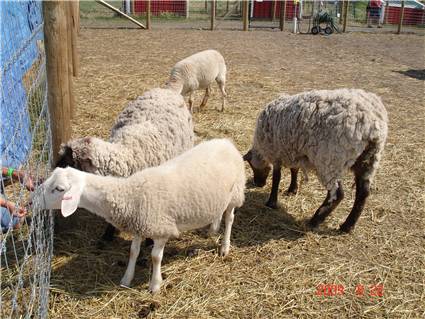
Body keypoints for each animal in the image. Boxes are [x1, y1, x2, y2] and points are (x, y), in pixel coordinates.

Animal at [33, 139, 245, 294]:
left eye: (59, 188)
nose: (32, 201)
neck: (131, 194)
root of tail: (226, 142)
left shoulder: (160, 228)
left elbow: (155, 257)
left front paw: (155, 285)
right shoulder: (138, 225)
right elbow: (133, 251)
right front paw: (126, 279)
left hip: (236, 192)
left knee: (229, 218)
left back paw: (224, 247)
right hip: (218, 195)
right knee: (218, 211)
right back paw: (212, 229)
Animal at [242, 89, 388, 234]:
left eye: (252, 167)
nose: (258, 184)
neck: (261, 149)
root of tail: (372, 125)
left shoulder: (276, 152)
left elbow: (277, 178)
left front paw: (271, 202)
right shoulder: (293, 151)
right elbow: (294, 170)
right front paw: (292, 189)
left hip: (330, 159)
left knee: (338, 194)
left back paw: (315, 220)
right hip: (368, 160)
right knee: (363, 193)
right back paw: (347, 226)